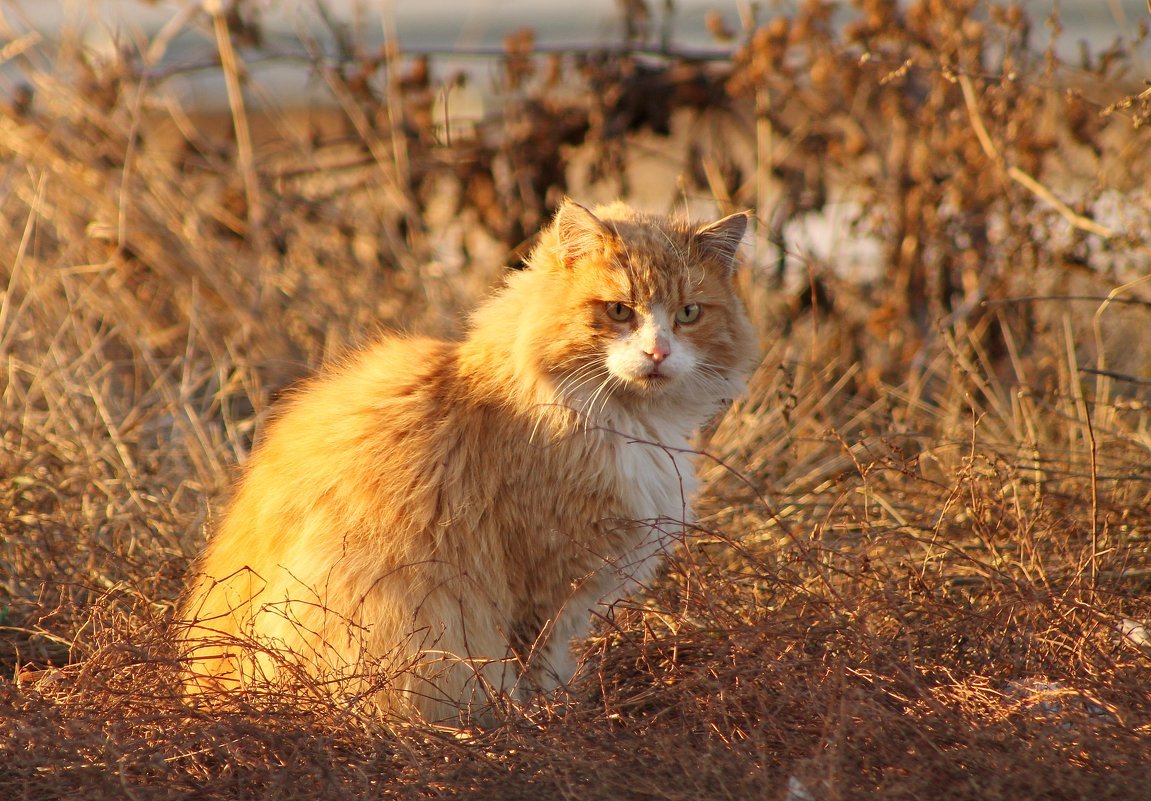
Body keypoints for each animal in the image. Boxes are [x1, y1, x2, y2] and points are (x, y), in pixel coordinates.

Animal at [177, 196, 755, 722]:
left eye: (688, 314)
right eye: (618, 311)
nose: (659, 353)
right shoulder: (543, 588)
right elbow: (536, 669)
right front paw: (546, 723)